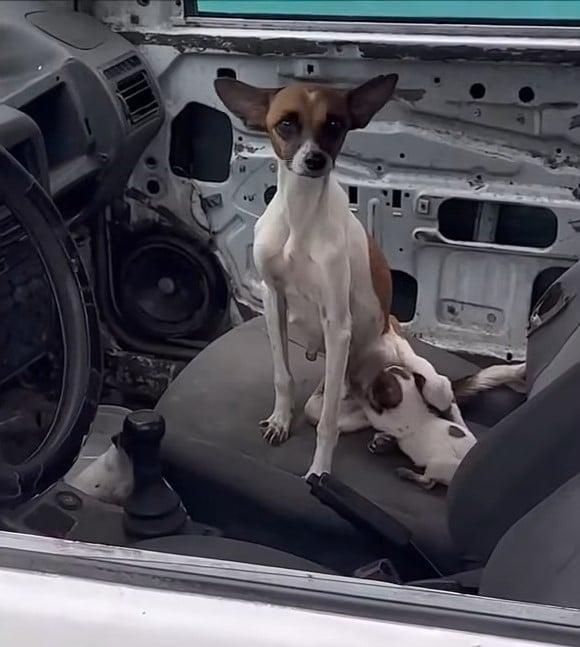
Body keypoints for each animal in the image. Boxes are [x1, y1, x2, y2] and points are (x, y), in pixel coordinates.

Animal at [215, 77, 460, 480]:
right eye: (285, 123)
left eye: (334, 125)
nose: (315, 160)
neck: (300, 218)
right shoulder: (272, 300)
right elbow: (283, 377)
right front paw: (280, 421)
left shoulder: (337, 324)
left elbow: (328, 426)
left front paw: (319, 472)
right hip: (338, 395)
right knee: (357, 415)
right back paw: (384, 436)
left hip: (427, 380)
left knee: (441, 403)